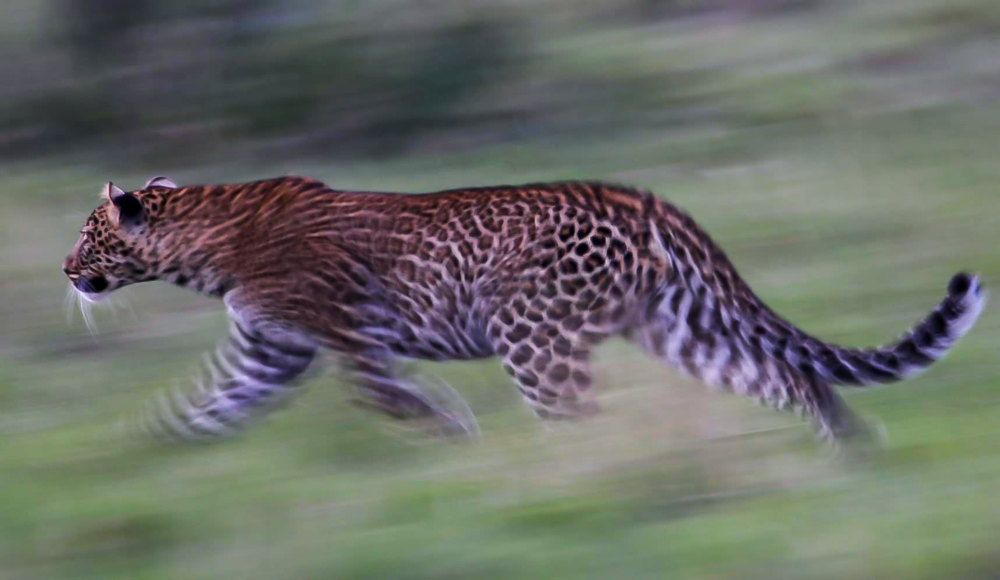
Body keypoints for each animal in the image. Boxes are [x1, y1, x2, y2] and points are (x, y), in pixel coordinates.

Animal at [62, 175, 986, 443]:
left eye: (89, 236)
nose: (67, 270)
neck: (199, 244)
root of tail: (638, 197)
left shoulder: (350, 337)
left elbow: (391, 397)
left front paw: (457, 437)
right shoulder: (270, 351)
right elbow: (210, 407)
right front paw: (138, 451)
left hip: (530, 332)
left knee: (579, 415)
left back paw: (566, 478)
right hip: (675, 324)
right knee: (788, 376)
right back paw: (849, 452)